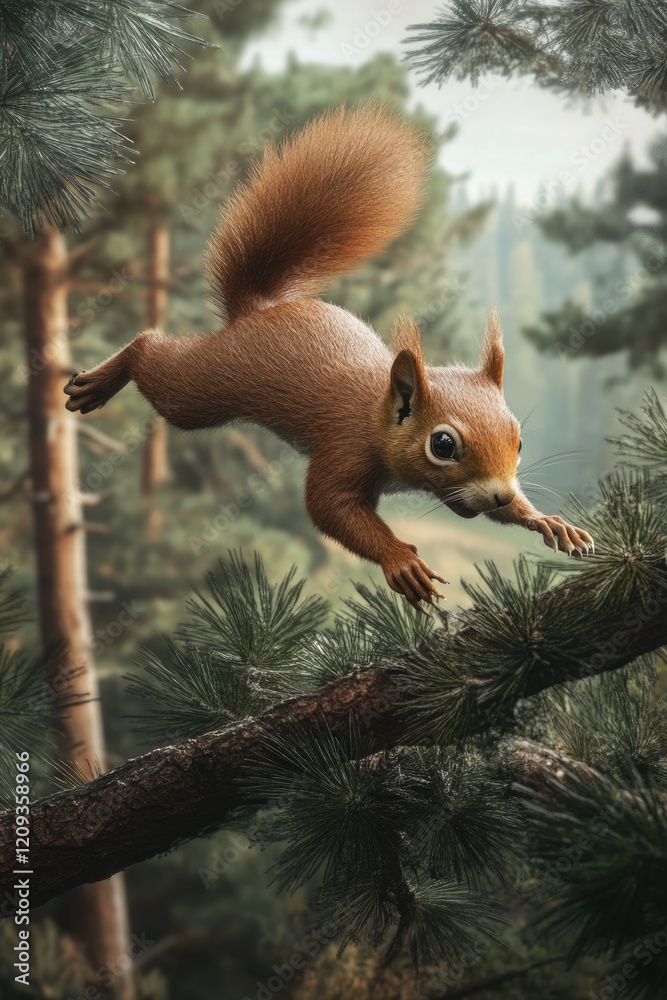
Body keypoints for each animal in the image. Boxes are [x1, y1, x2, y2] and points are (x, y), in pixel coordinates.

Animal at [64, 104, 593, 612]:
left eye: (518, 439)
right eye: (442, 445)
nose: (502, 492)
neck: (377, 412)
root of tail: (261, 309)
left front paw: (546, 520)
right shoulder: (345, 448)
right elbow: (327, 508)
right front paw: (401, 560)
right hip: (206, 387)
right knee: (151, 352)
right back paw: (100, 381)